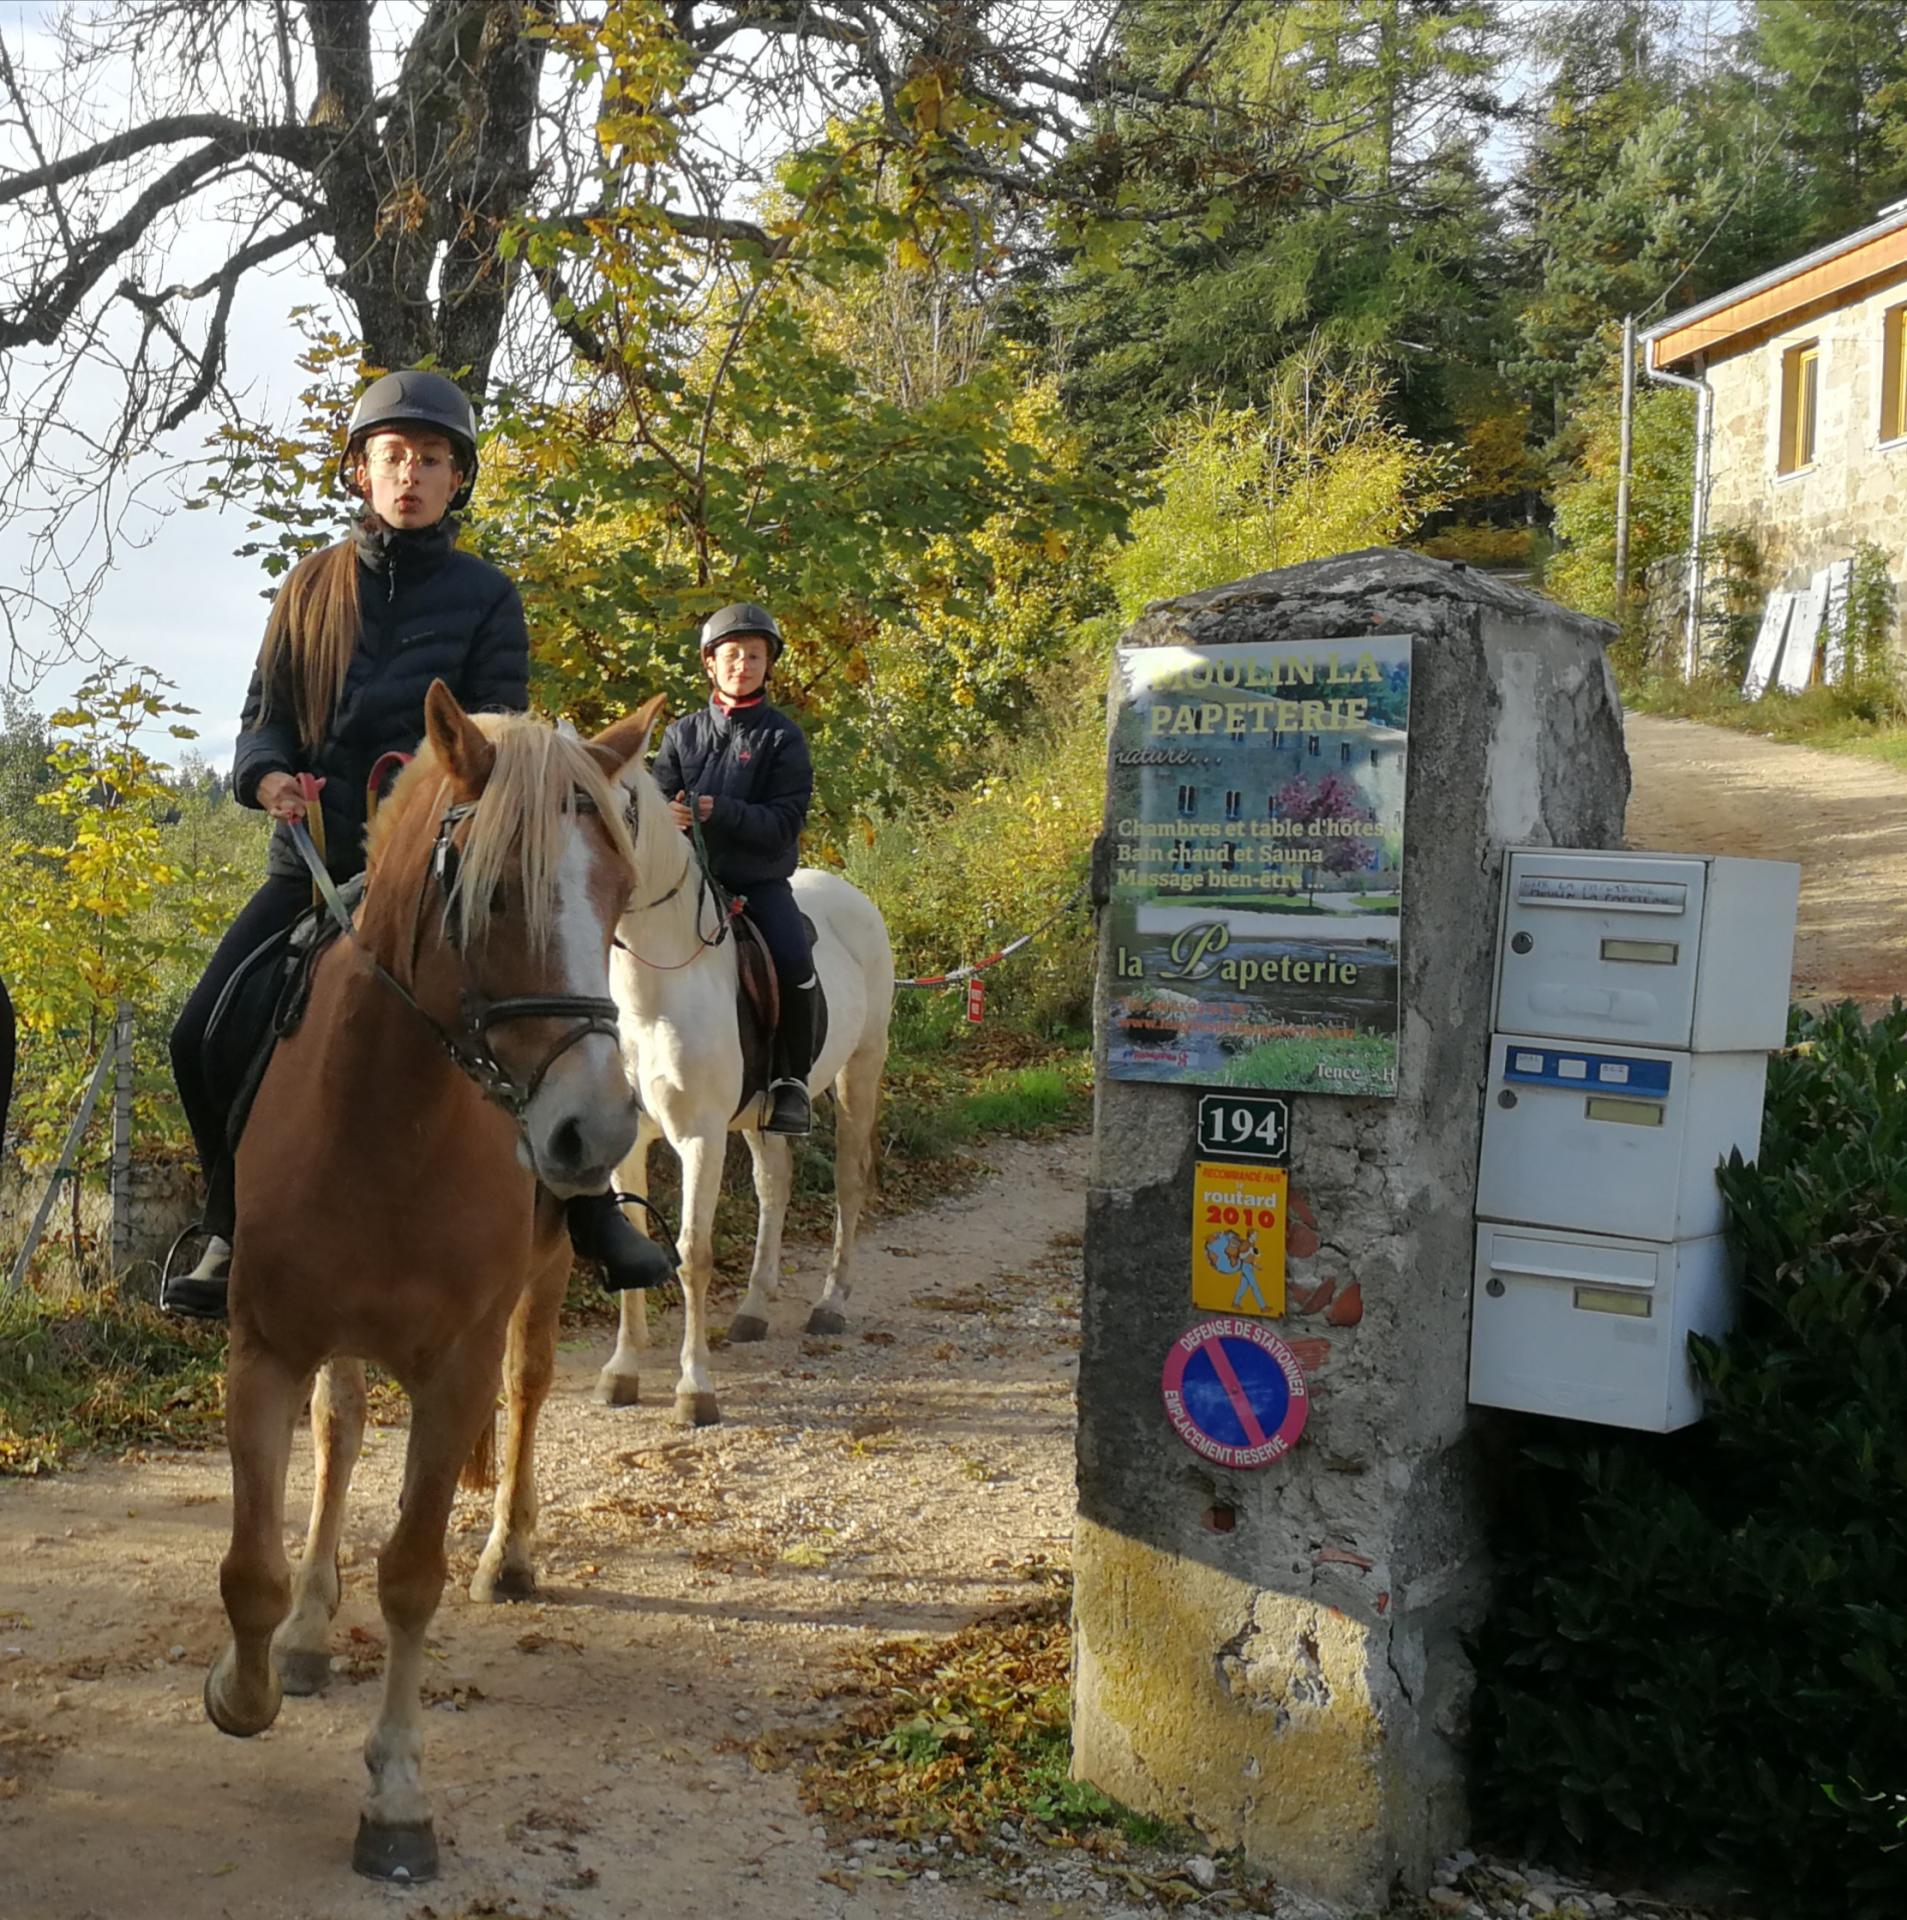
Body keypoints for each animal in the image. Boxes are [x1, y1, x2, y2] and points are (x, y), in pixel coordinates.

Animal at [205, 683, 664, 1881]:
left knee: (530, 1391)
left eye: (618, 895)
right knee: (340, 1435)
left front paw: (398, 1800)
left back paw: (509, 1554)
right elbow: (252, 1566)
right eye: (493, 892)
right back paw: (309, 1634)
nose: (592, 1133)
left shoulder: (455, 1369)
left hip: (542, 1289)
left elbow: (413, 1574)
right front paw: (248, 1684)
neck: (387, 1117)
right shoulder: (265, 1348)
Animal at [595, 748, 891, 1428]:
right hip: (762, 1112)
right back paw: (754, 1308)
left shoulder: (701, 1138)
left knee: (848, 1181)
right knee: (774, 1183)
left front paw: (694, 1388)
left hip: (860, 1070)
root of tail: (852, 897)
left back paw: (831, 1304)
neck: (655, 991)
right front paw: (623, 1372)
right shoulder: (632, 1141)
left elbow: (693, 1253)